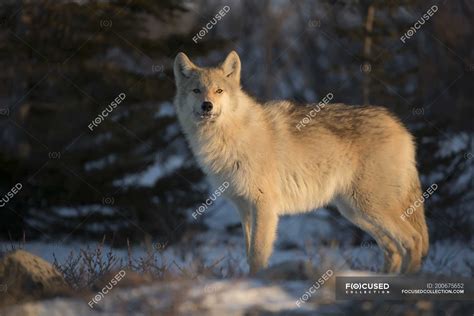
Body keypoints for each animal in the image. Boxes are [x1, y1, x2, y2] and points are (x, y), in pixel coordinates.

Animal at [173, 50, 430, 274]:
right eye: (196, 90)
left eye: (219, 91)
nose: (207, 105)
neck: (228, 136)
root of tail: (401, 127)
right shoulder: (243, 208)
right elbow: (248, 253)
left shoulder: (264, 206)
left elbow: (257, 254)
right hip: (356, 212)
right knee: (393, 249)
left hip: (371, 207)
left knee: (414, 240)